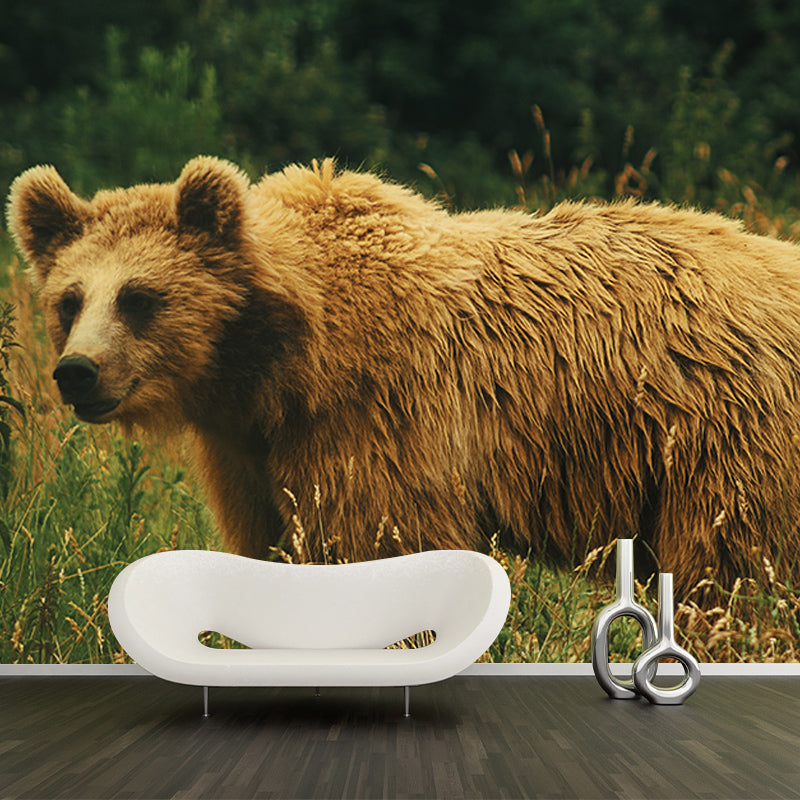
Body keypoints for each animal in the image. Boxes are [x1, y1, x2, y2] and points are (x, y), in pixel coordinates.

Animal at [6, 155, 800, 602]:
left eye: (140, 297)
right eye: (71, 298)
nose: (77, 371)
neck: (277, 365)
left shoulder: (376, 423)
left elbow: (381, 546)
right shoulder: (252, 454)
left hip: (720, 435)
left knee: (732, 571)